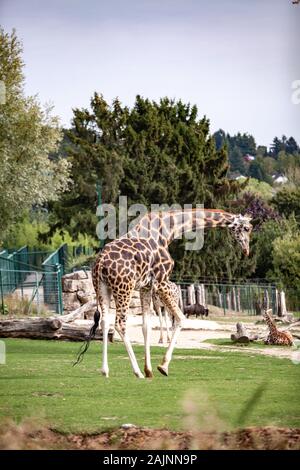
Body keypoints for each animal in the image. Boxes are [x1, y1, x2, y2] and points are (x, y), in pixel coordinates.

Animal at [89, 209, 253, 378]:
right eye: (247, 228)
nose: (246, 250)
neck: (168, 231)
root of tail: (100, 262)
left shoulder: (146, 286)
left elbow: (146, 326)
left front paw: (149, 370)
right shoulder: (161, 281)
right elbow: (180, 319)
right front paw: (163, 366)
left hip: (102, 287)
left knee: (104, 322)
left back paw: (105, 370)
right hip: (124, 288)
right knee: (120, 324)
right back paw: (137, 372)